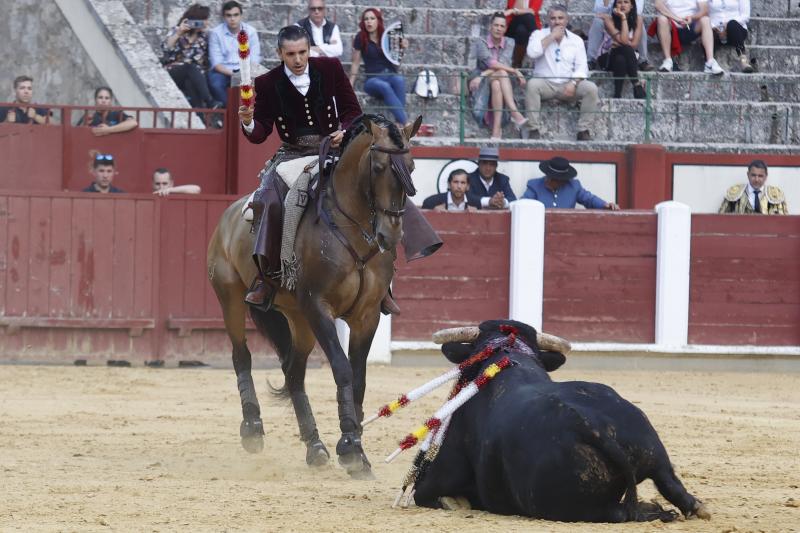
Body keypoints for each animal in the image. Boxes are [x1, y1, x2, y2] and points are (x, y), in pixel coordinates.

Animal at [208, 114, 424, 476]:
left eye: (411, 165)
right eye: (379, 167)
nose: (390, 235)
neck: (352, 227)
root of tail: (230, 214)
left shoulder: (366, 315)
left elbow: (359, 376)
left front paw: (356, 445)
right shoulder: (319, 307)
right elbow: (342, 367)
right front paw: (351, 447)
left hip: (299, 320)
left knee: (294, 373)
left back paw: (314, 446)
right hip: (232, 298)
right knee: (242, 356)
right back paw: (253, 428)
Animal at [412, 318, 712, 520]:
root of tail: (594, 427)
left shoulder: (437, 475)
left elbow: (422, 493)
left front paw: (455, 501)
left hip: (576, 505)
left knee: (619, 513)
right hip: (655, 453)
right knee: (673, 486)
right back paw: (690, 508)